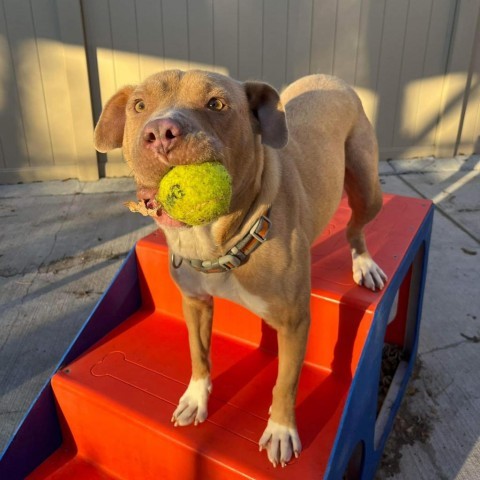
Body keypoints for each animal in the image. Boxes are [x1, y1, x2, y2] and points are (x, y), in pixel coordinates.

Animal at [93, 71, 386, 468]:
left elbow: (285, 382)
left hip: (368, 187)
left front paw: (281, 430)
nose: (161, 132)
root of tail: (331, 78)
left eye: (216, 103)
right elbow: (199, 352)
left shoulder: (294, 323)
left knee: (356, 226)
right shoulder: (195, 302)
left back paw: (364, 264)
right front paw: (197, 398)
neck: (216, 245)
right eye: (139, 105)